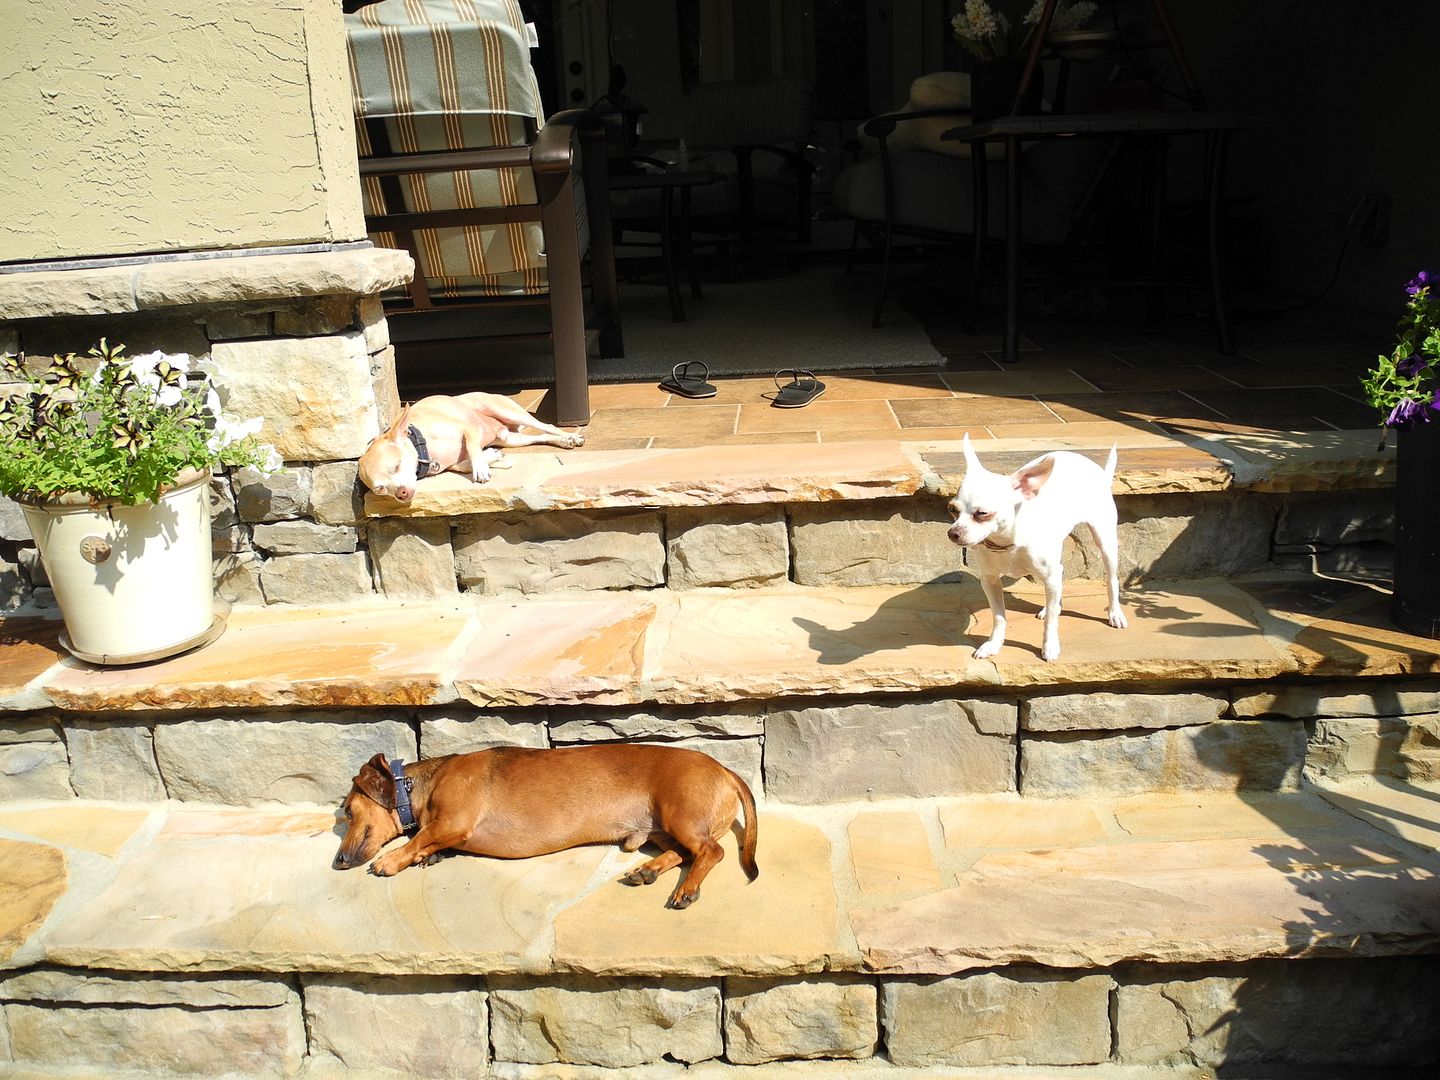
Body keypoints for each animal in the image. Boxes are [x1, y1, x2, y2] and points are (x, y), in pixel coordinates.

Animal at [335, 743, 760, 915]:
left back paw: (687, 889)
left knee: (711, 851)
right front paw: (431, 856)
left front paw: (391, 860)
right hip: (661, 829)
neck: (420, 784)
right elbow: (429, 840)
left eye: (348, 812)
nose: (338, 862)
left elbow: (421, 837)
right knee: (685, 852)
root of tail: (725, 769)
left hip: (679, 815)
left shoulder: (454, 821)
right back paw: (647, 870)